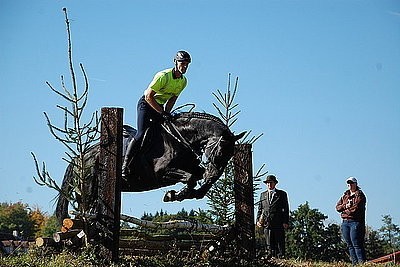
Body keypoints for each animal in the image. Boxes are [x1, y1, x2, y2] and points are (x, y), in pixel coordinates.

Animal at [55, 112, 244, 223]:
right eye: (221, 152)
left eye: (230, 156)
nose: (213, 175)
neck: (180, 138)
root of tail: (79, 157)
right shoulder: (161, 173)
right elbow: (191, 177)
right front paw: (173, 194)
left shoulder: (191, 168)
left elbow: (196, 176)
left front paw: (184, 194)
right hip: (86, 190)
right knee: (84, 210)